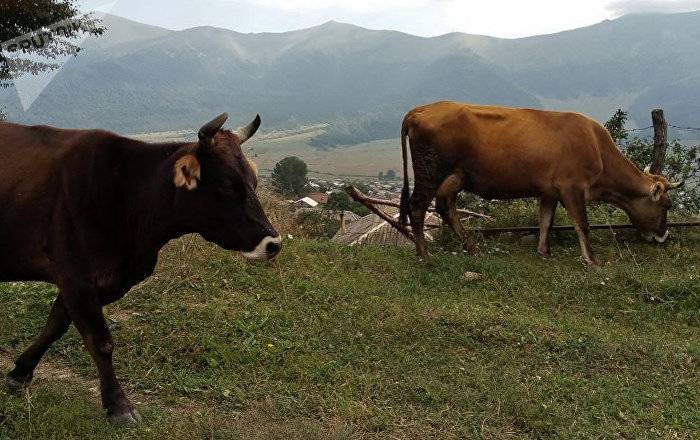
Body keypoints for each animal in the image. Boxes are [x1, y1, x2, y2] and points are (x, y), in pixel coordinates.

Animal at [0, 113, 281, 424]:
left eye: (254, 181)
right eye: (227, 186)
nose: (273, 243)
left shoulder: (101, 283)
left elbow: (55, 326)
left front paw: (20, 373)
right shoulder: (76, 277)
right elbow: (100, 341)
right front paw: (119, 405)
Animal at [399, 101, 684, 267]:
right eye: (667, 205)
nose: (664, 235)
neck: (597, 147)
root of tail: (421, 109)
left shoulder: (550, 191)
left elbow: (546, 220)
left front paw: (544, 251)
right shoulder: (572, 187)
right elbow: (582, 224)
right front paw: (592, 259)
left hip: (455, 176)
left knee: (445, 206)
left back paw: (470, 247)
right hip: (430, 171)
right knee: (418, 206)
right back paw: (424, 253)